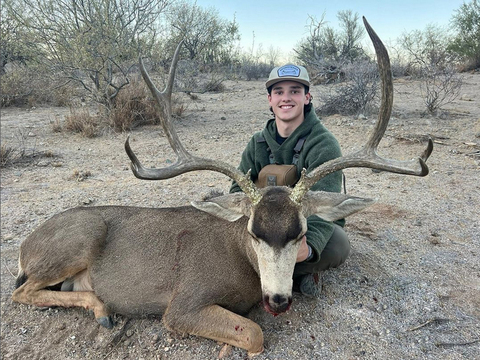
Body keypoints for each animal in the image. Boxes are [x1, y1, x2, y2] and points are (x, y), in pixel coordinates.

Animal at [12, 19, 432, 358]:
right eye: (253, 232)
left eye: (300, 233)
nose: (278, 300)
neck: (238, 258)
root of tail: (25, 246)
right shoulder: (182, 304)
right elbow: (254, 333)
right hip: (78, 239)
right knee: (20, 291)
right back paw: (102, 311)